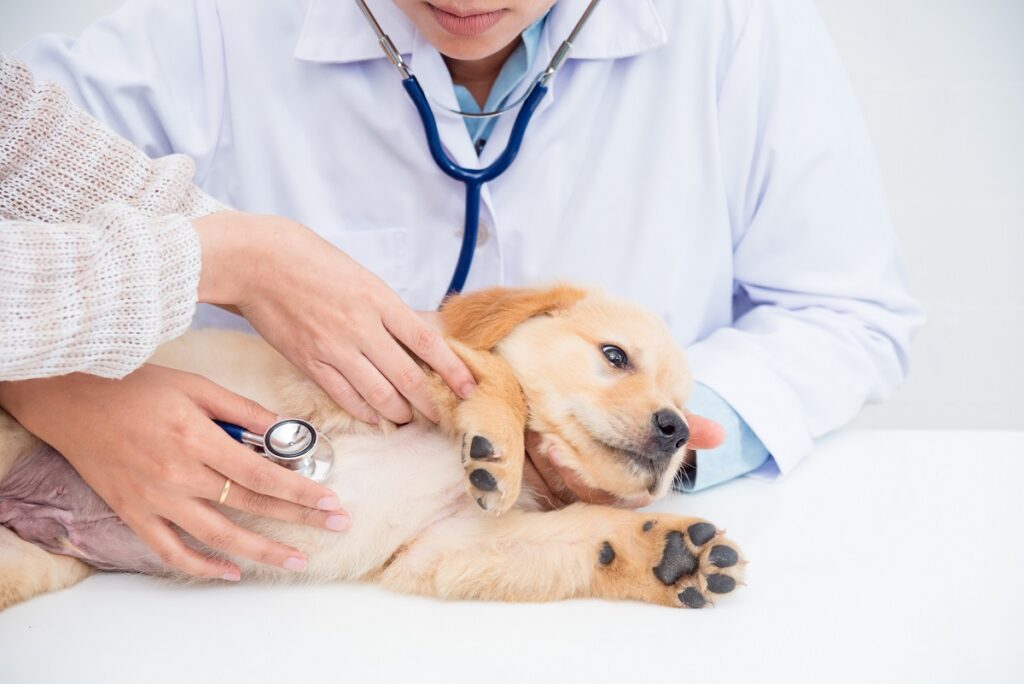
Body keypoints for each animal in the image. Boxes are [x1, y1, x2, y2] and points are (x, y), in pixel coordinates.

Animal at [0, 282, 745, 610]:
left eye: (684, 411)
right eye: (614, 356)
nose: (678, 431)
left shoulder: (445, 546)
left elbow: (578, 537)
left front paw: (666, 553)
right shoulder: (363, 371)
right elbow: (493, 370)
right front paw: (499, 443)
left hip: (35, 564)